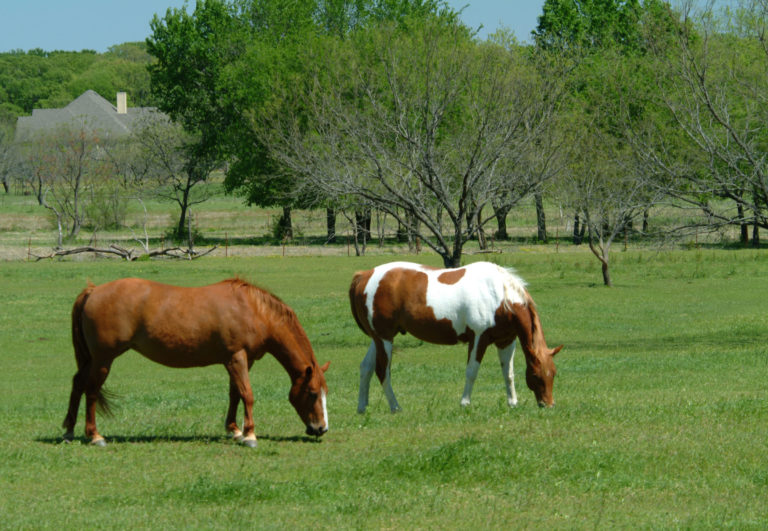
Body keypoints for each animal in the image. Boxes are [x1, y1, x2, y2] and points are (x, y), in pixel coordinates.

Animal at [63, 278, 330, 448]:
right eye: (312, 393)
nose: (321, 429)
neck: (253, 310)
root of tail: (93, 291)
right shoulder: (237, 357)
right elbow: (248, 394)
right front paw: (250, 435)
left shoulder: (239, 360)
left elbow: (235, 394)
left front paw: (234, 430)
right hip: (103, 359)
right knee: (91, 391)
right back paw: (95, 436)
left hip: (91, 359)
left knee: (77, 384)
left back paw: (69, 430)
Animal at [352, 262, 560, 412]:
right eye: (536, 375)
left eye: (553, 373)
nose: (549, 404)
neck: (500, 296)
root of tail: (364, 275)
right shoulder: (478, 339)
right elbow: (472, 372)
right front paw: (465, 403)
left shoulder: (506, 341)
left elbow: (508, 373)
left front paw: (512, 403)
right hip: (385, 339)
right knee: (382, 371)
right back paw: (395, 407)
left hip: (378, 339)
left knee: (366, 367)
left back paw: (362, 407)